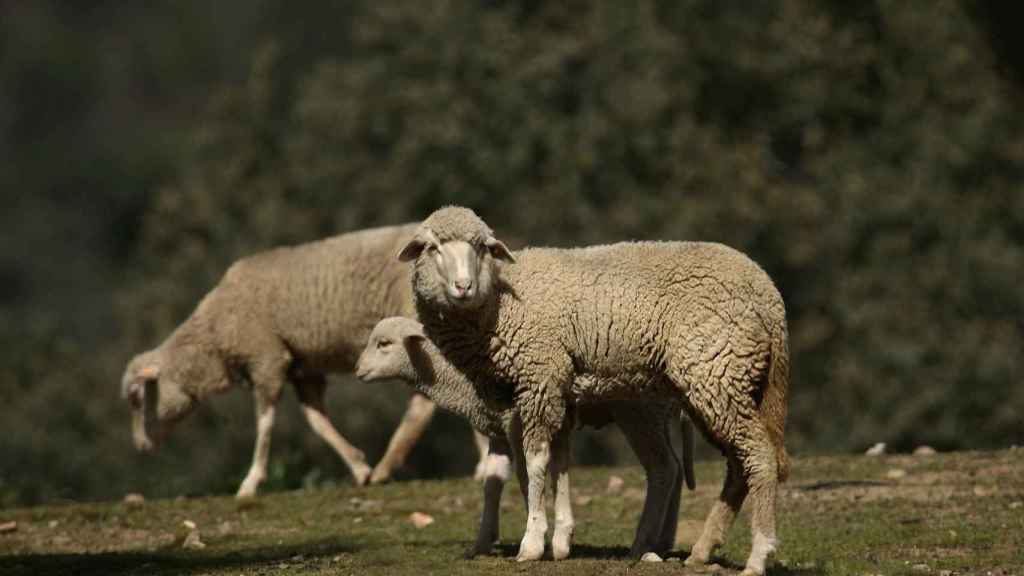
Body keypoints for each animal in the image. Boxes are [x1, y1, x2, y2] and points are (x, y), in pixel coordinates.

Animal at [119, 222, 491, 496]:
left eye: (138, 398)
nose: (140, 446)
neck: (214, 335)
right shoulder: (303, 369)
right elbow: (317, 421)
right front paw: (358, 466)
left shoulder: (267, 359)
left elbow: (265, 423)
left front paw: (250, 482)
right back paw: (478, 461)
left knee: (422, 403)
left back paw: (390, 467)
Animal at [352, 313, 696, 557]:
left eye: (384, 343)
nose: (357, 371)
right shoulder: (500, 431)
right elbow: (494, 483)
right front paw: (484, 542)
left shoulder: (519, 424)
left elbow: (528, 477)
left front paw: (540, 536)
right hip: (655, 414)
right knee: (676, 468)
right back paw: (662, 541)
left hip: (639, 411)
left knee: (663, 469)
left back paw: (642, 544)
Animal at [399, 207, 790, 573]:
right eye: (432, 248)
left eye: (481, 247)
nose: (463, 286)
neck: (501, 302)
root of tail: (769, 294)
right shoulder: (554, 391)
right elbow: (558, 462)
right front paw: (558, 541)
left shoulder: (540, 376)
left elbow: (535, 463)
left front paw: (532, 543)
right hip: (720, 384)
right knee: (737, 466)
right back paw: (701, 551)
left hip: (715, 371)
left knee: (758, 456)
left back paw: (758, 555)